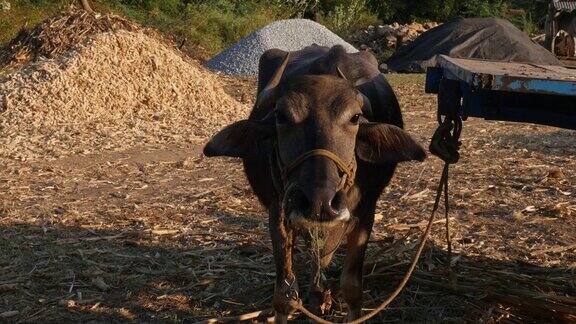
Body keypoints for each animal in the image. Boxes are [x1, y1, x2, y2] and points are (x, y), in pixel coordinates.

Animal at [205, 45, 426, 322]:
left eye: (355, 117)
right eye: (281, 116)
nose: (320, 203)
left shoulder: (365, 213)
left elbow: (352, 287)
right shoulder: (278, 213)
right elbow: (285, 296)